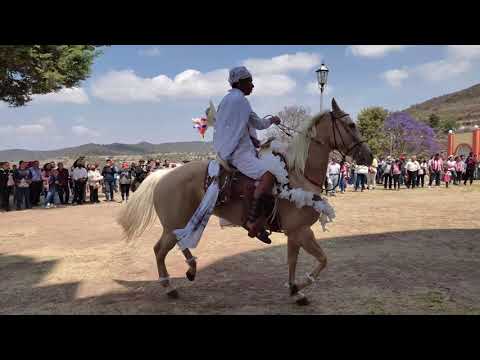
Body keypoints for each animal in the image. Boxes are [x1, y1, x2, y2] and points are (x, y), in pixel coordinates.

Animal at [118, 100, 374, 306]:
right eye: (351, 125)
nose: (369, 156)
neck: (299, 174)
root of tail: (164, 175)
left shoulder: (294, 233)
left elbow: (292, 261)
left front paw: (295, 291)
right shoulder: (302, 231)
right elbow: (323, 260)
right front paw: (300, 286)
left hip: (180, 223)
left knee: (177, 244)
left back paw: (191, 269)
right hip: (173, 224)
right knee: (160, 249)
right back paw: (170, 286)